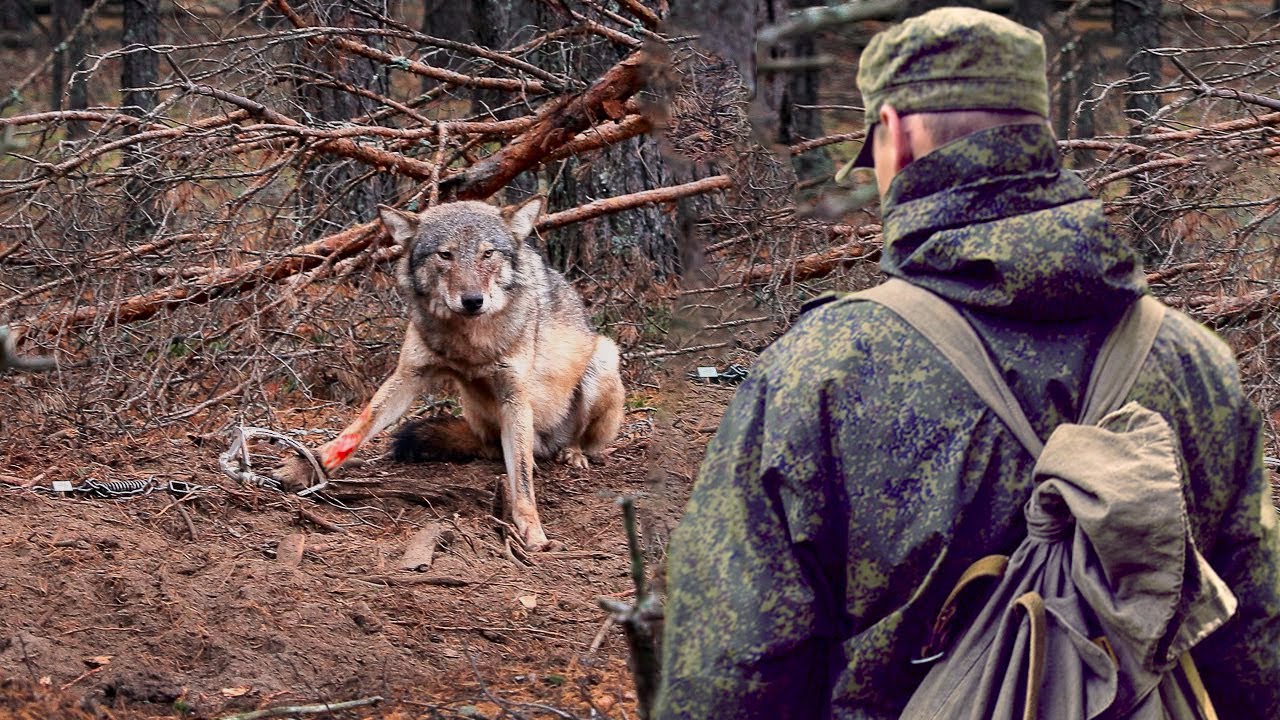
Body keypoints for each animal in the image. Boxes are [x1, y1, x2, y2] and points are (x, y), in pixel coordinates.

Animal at [276, 197, 625, 551]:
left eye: (488, 253)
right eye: (446, 255)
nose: (473, 301)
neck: (469, 342)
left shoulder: (514, 395)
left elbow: (523, 477)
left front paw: (531, 529)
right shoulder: (409, 375)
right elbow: (359, 426)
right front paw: (309, 464)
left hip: (604, 358)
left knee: (578, 442)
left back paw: (573, 453)